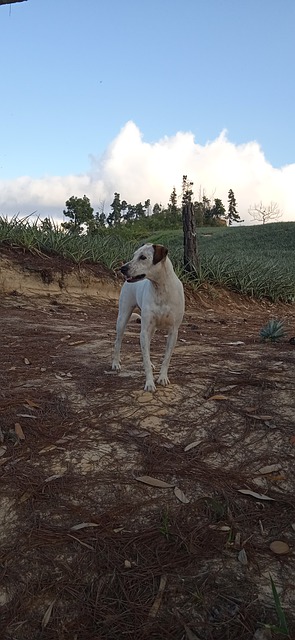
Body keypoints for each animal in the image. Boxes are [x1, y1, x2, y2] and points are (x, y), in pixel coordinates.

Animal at [112, 244, 185, 392]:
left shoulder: (173, 331)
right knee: (118, 341)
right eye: (134, 255)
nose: (123, 268)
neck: (161, 289)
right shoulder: (144, 331)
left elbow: (167, 358)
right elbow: (145, 356)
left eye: (143, 257)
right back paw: (116, 363)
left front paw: (162, 377)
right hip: (123, 318)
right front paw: (150, 383)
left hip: (152, 329)